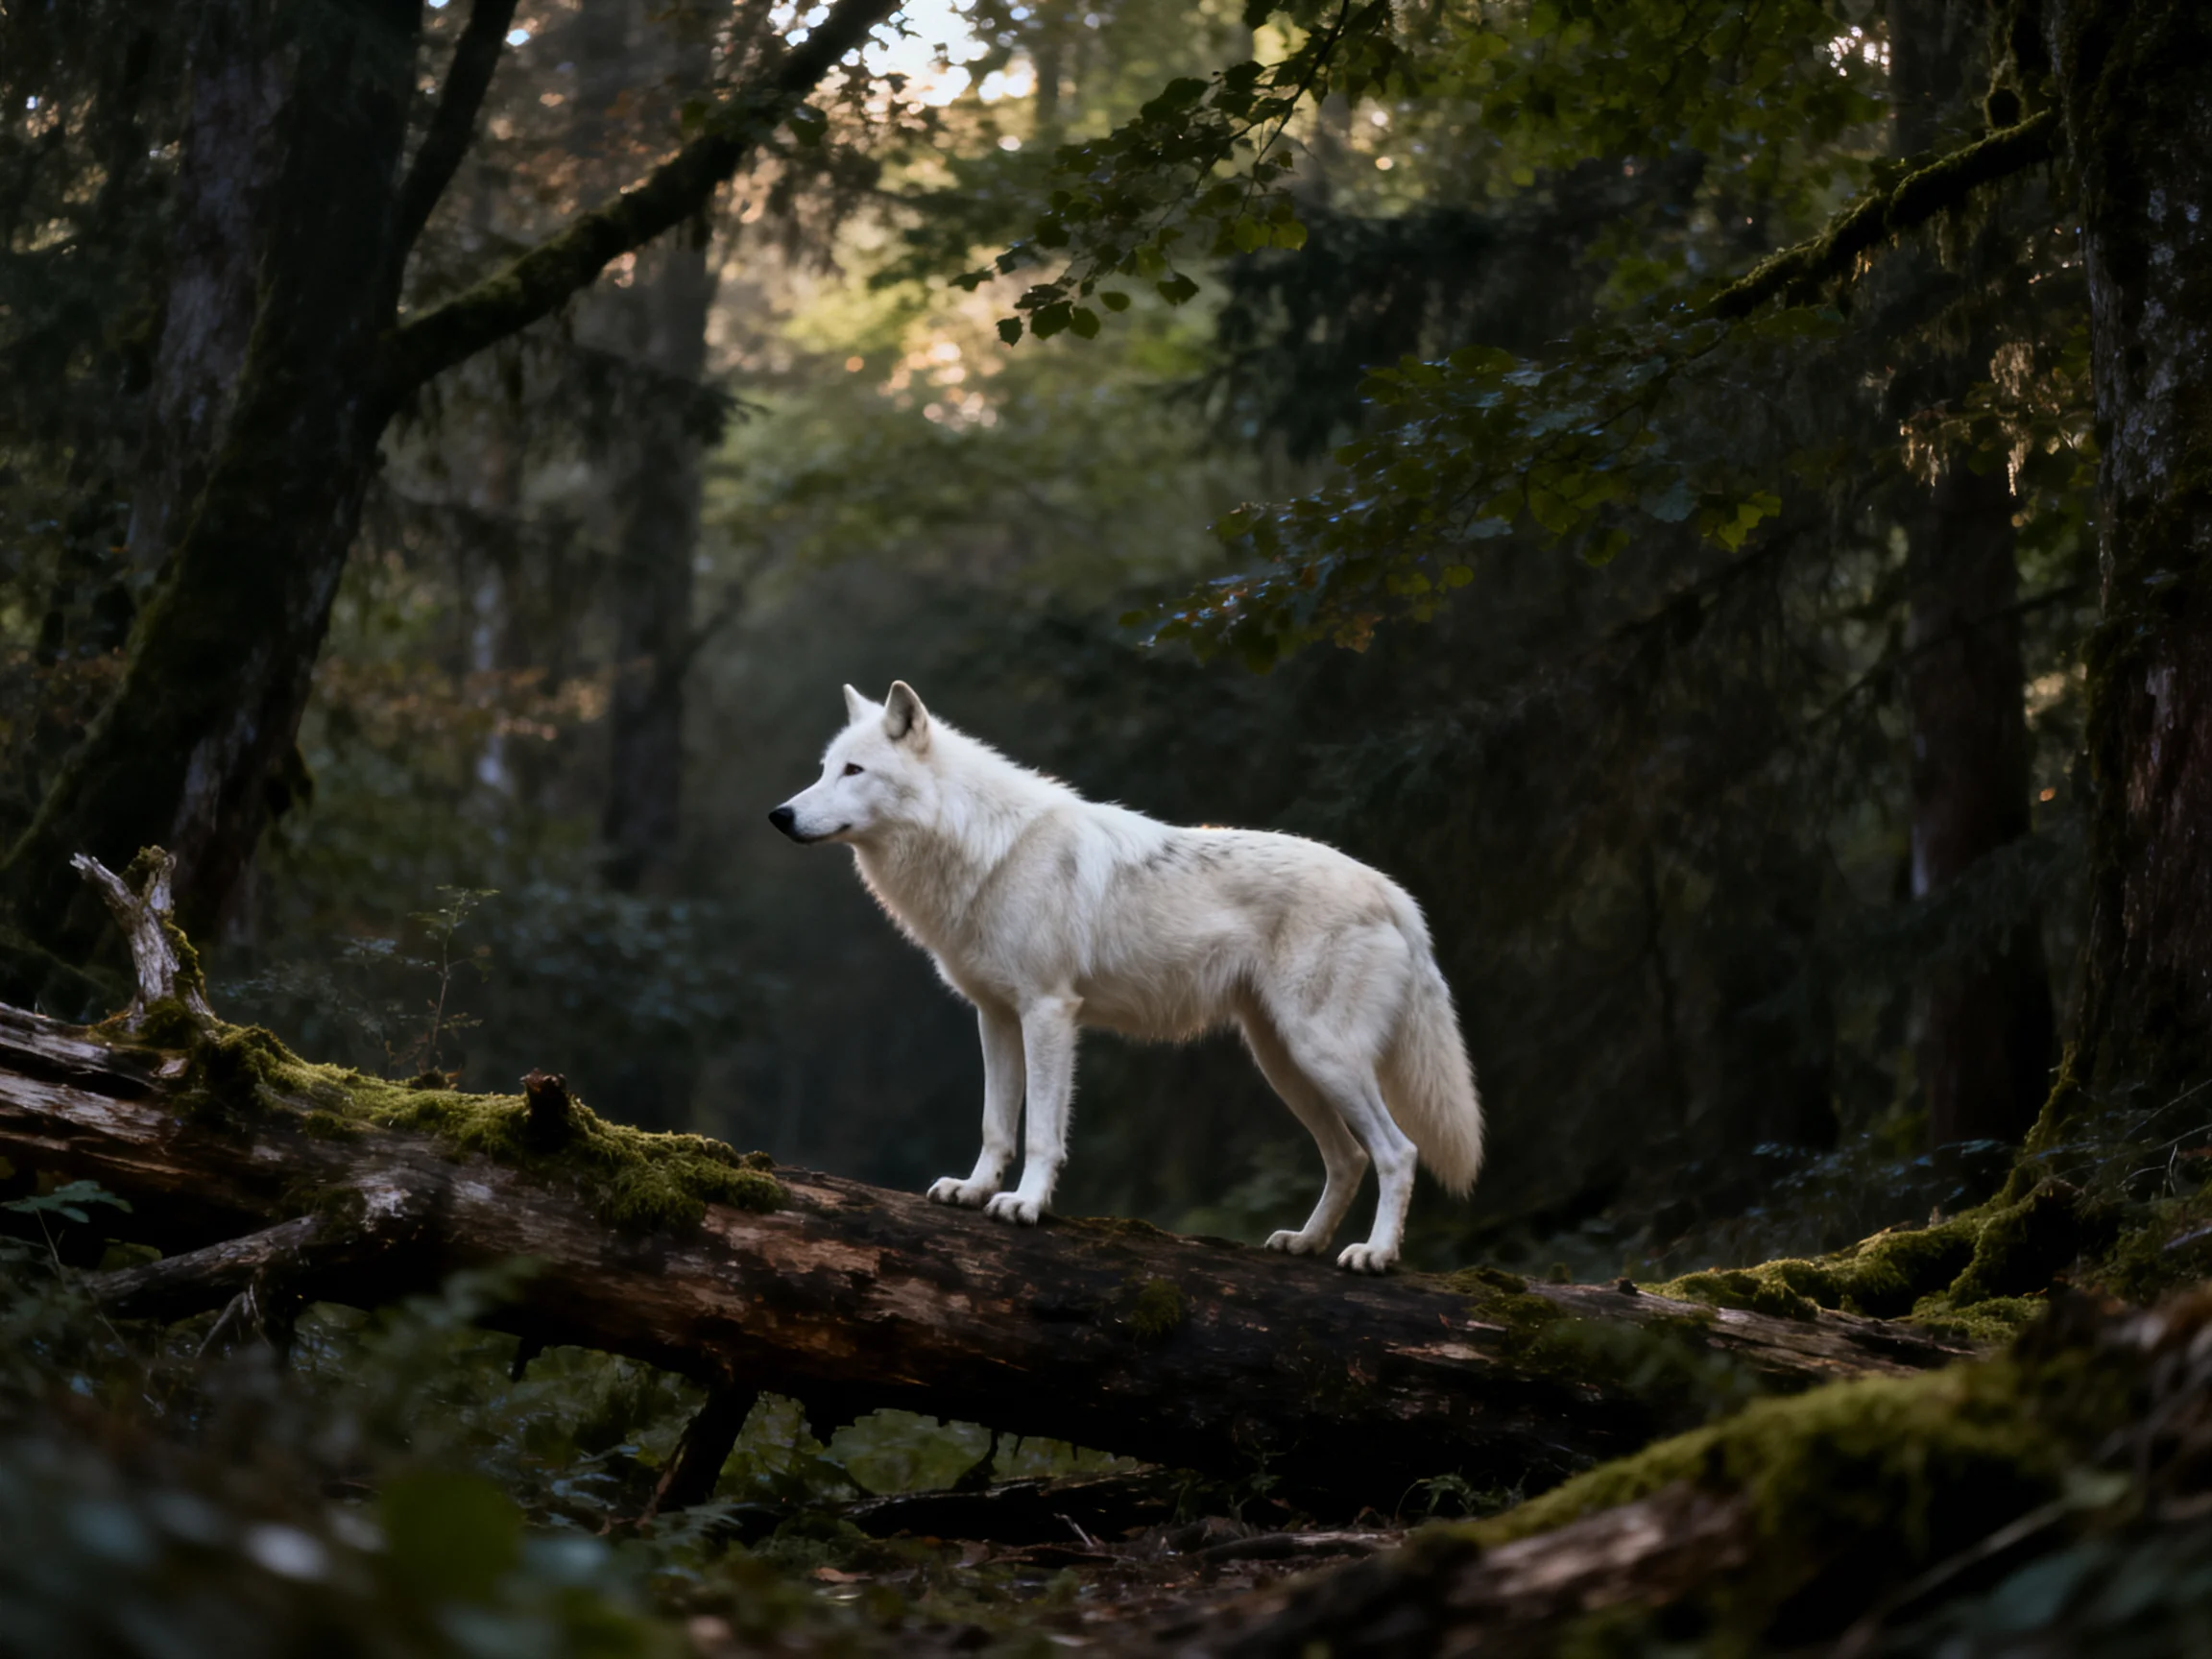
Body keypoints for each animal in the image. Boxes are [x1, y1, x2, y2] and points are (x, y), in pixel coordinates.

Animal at [768, 682, 1484, 1272]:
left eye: (854, 771)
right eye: (823, 770)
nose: (780, 815)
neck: (983, 848)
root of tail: (1391, 890)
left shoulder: (1049, 1012)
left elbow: (1040, 1133)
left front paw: (1024, 1205)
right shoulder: (995, 1016)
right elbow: (995, 1124)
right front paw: (972, 1192)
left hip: (1322, 1057)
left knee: (1397, 1153)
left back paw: (1374, 1256)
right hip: (1285, 1065)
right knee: (1349, 1157)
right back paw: (1305, 1243)